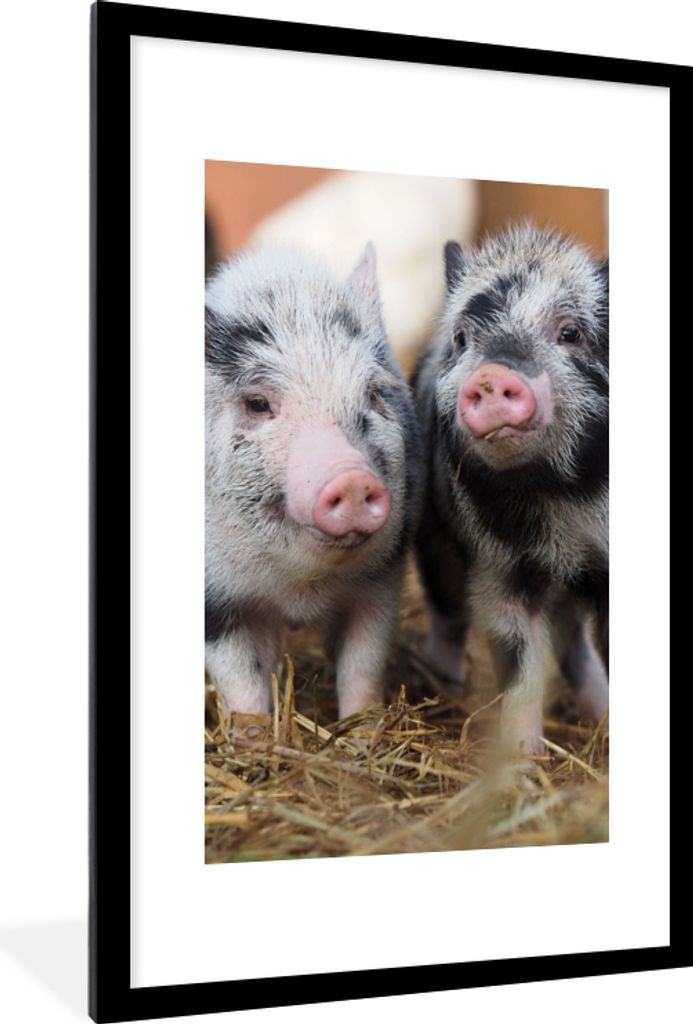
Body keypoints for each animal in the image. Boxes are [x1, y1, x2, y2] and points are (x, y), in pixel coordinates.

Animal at [205, 244, 421, 726]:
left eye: (373, 393)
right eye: (258, 403)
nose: (354, 479)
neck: (300, 589)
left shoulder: (383, 577)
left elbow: (362, 665)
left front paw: (361, 729)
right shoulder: (215, 597)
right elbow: (242, 682)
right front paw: (254, 735)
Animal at [413, 224, 608, 756]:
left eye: (571, 333)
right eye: (463, 337)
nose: (492, 373)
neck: (564, 499)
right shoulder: (499, 569)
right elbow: (521, 668)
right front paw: (522, 759)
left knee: (573, 642)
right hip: (435, 544)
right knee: (447, 617)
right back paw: (449, 689)